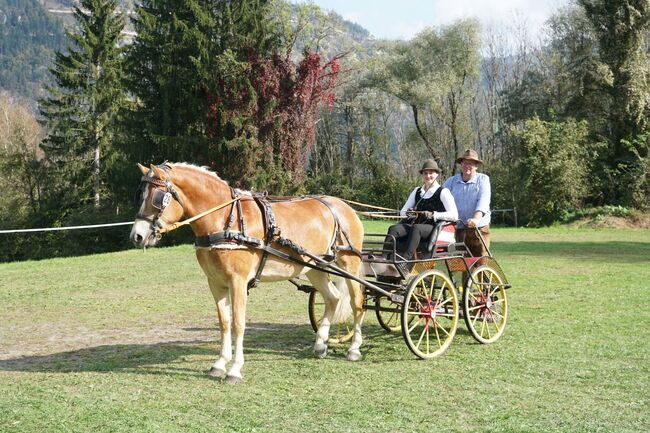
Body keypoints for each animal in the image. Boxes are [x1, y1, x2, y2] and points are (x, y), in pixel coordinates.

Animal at [130, 161, 368, 382]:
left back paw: (354, 348)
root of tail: (342, 205)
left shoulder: (238, 281)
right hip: (314, 267)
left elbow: (238, 323)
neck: (224, 219)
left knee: (357, 302)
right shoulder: (215, 282)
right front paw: (219, 364)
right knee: (333, 298)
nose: (136, 236)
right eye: (140, 195)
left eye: (157, 197)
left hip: (349, 262)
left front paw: (235, 369)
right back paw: (320, 345)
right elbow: (224, 322)